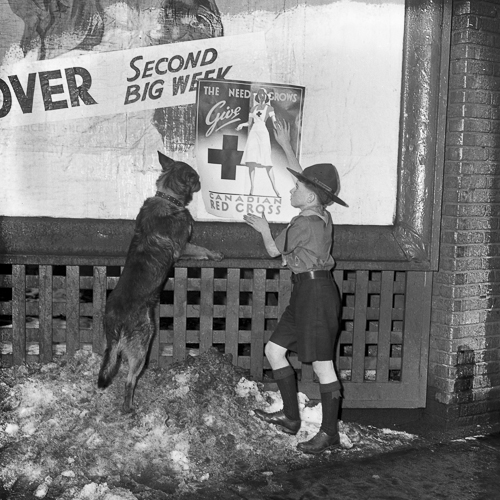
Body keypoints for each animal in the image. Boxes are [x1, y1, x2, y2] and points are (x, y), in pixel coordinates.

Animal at [97, 150, 223, 412]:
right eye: (196, 178)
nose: (201, 181)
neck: (168, 197)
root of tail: (116, 318)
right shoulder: (184, 246)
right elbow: (201, 248)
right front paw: (215, 254)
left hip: (115, 346)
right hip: (142, 344)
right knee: (129, 380)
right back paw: (130, 408)